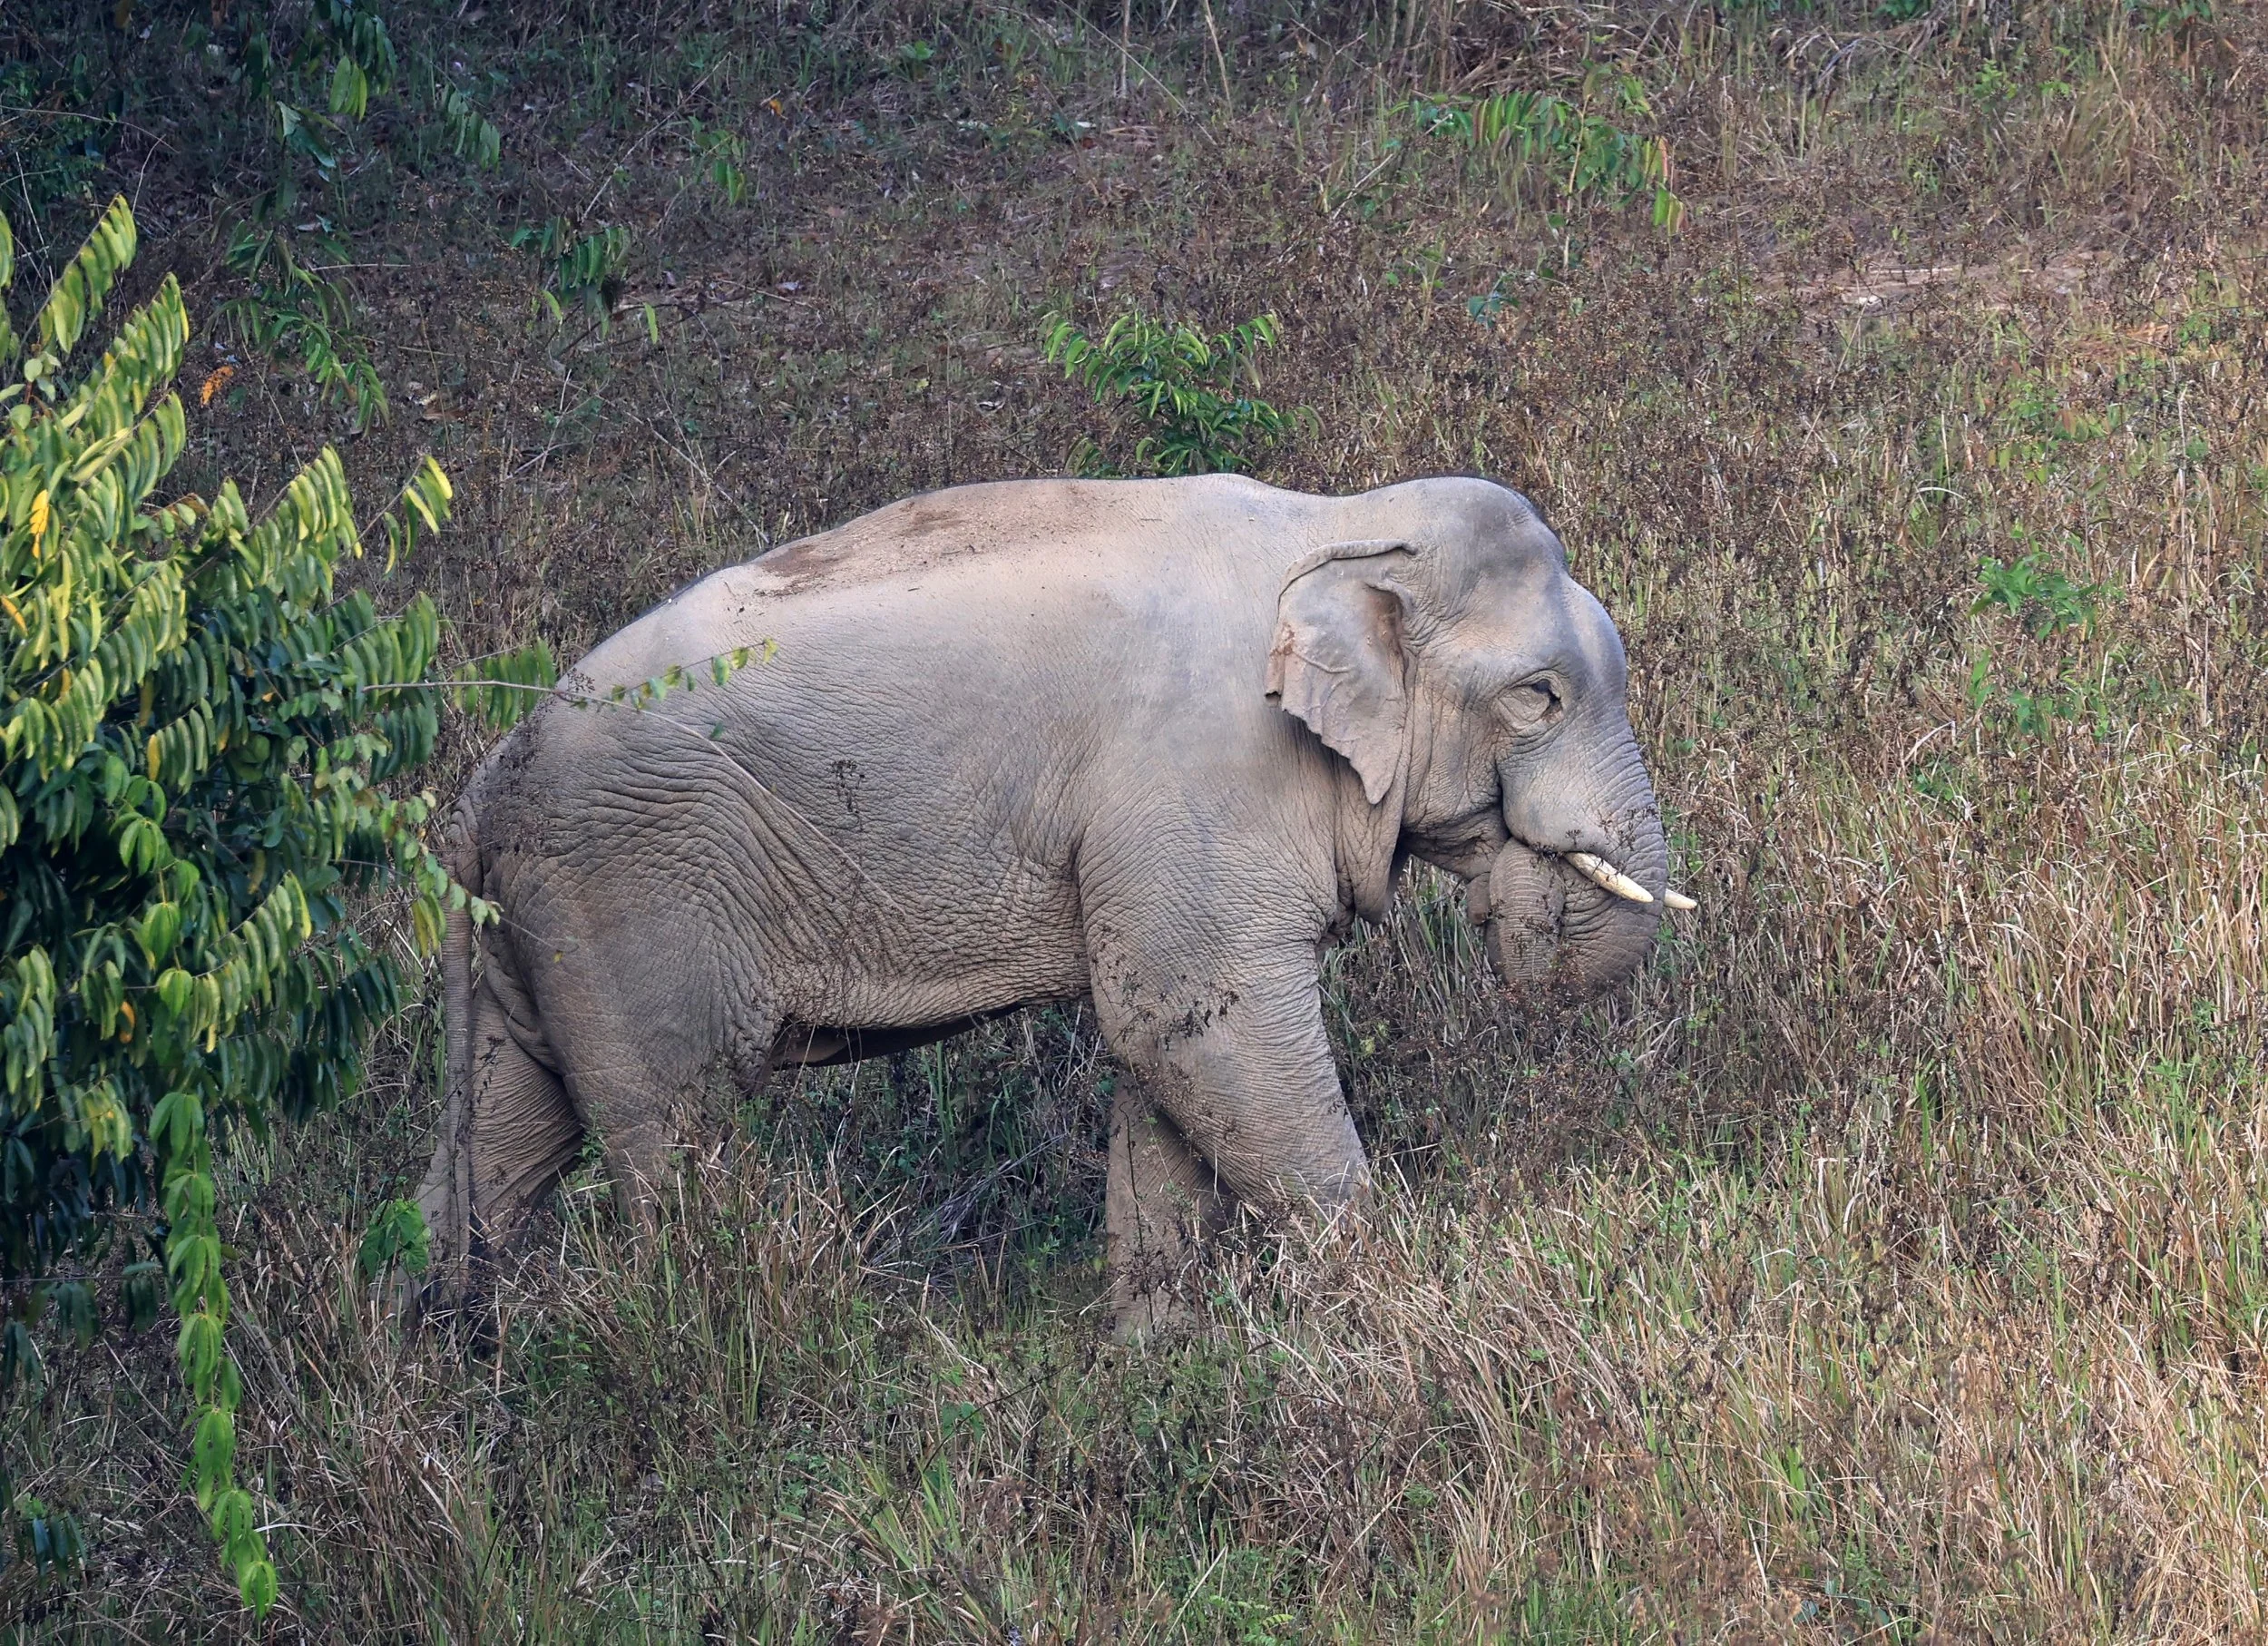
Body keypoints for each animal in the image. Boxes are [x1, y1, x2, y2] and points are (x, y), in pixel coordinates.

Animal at [413, 473, 1686, 1329]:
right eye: (1536, 695)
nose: (1524, 923)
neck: (1334, 523)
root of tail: (478, 792)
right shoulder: (1200, 780)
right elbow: (1196, 1019)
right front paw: (1372, 1299)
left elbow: (1160, 1045)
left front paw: (1154, 1349)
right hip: (630, 898)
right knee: (673, 1134)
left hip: (541, 930)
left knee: (507, 1128)